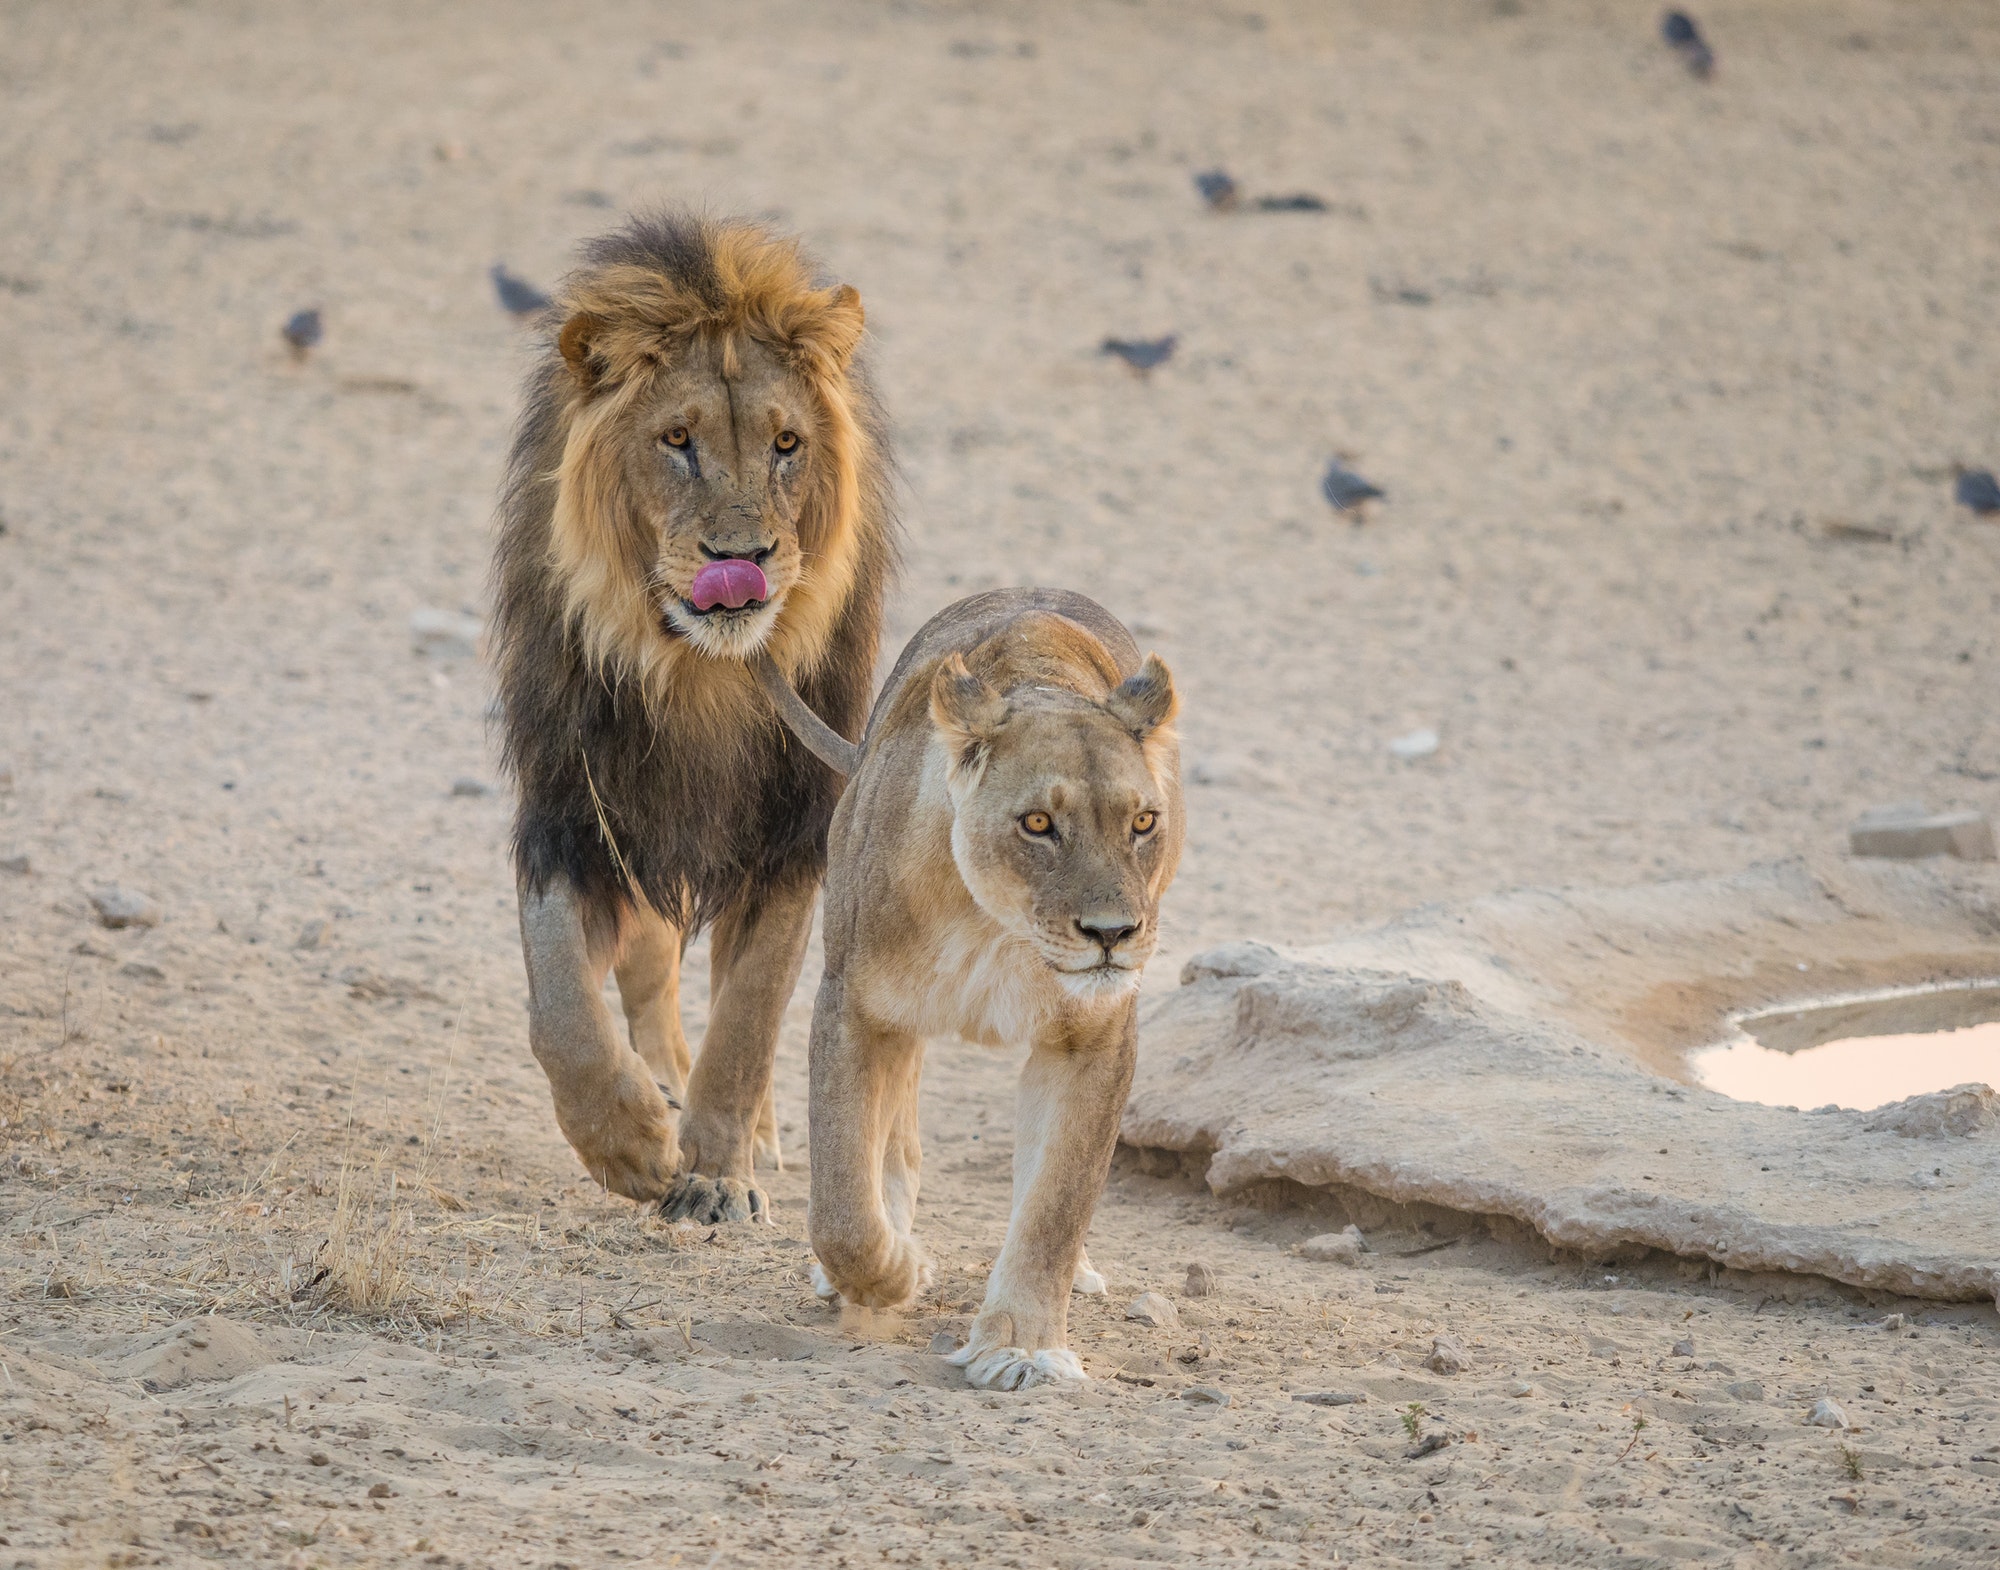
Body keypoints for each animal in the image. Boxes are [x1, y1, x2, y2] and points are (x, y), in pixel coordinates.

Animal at [488, 214, 896, 1216]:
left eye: (787, 444)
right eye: (677, 439)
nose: (740, 558)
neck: (696, 676)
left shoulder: (794, 834)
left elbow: (749, 1017)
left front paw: (714, 1169)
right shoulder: (573, 817)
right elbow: (559, 1004)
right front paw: (630, 1142)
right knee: (647, 972)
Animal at [812, 588, 1176, 1384]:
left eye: (1142, 822)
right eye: (1038, 823)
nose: (1112, 934)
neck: (997, 925)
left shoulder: (1094, 1039)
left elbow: (1055, 1204)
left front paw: (1022, 1347)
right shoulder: (854, 1005)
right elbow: (843, 1205)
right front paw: (895, 1273)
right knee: (891, 1141)